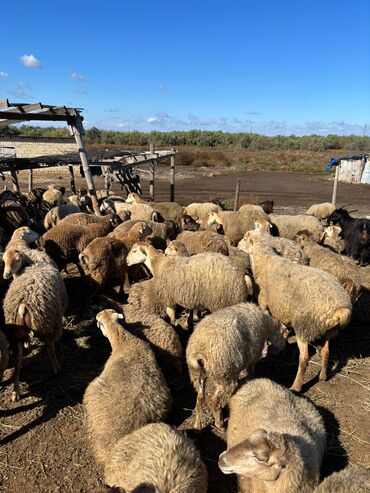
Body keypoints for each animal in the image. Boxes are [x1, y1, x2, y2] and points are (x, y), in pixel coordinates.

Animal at [3, 262, 68, 400]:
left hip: (16, 335)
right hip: (48, 325)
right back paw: (57, 370)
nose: (6, 275)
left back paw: (15, 391)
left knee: (17, 362)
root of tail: (23, 306)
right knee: (50, 349)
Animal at [241, 233, 352, 390]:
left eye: (245, 239)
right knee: (326, 351)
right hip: (327, 330)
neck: (264, 260)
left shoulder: (263, 304)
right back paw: (323, 376)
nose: (238, 245)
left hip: (304, 327)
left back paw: (296, 386)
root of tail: (340, 309)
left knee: (304, 358)